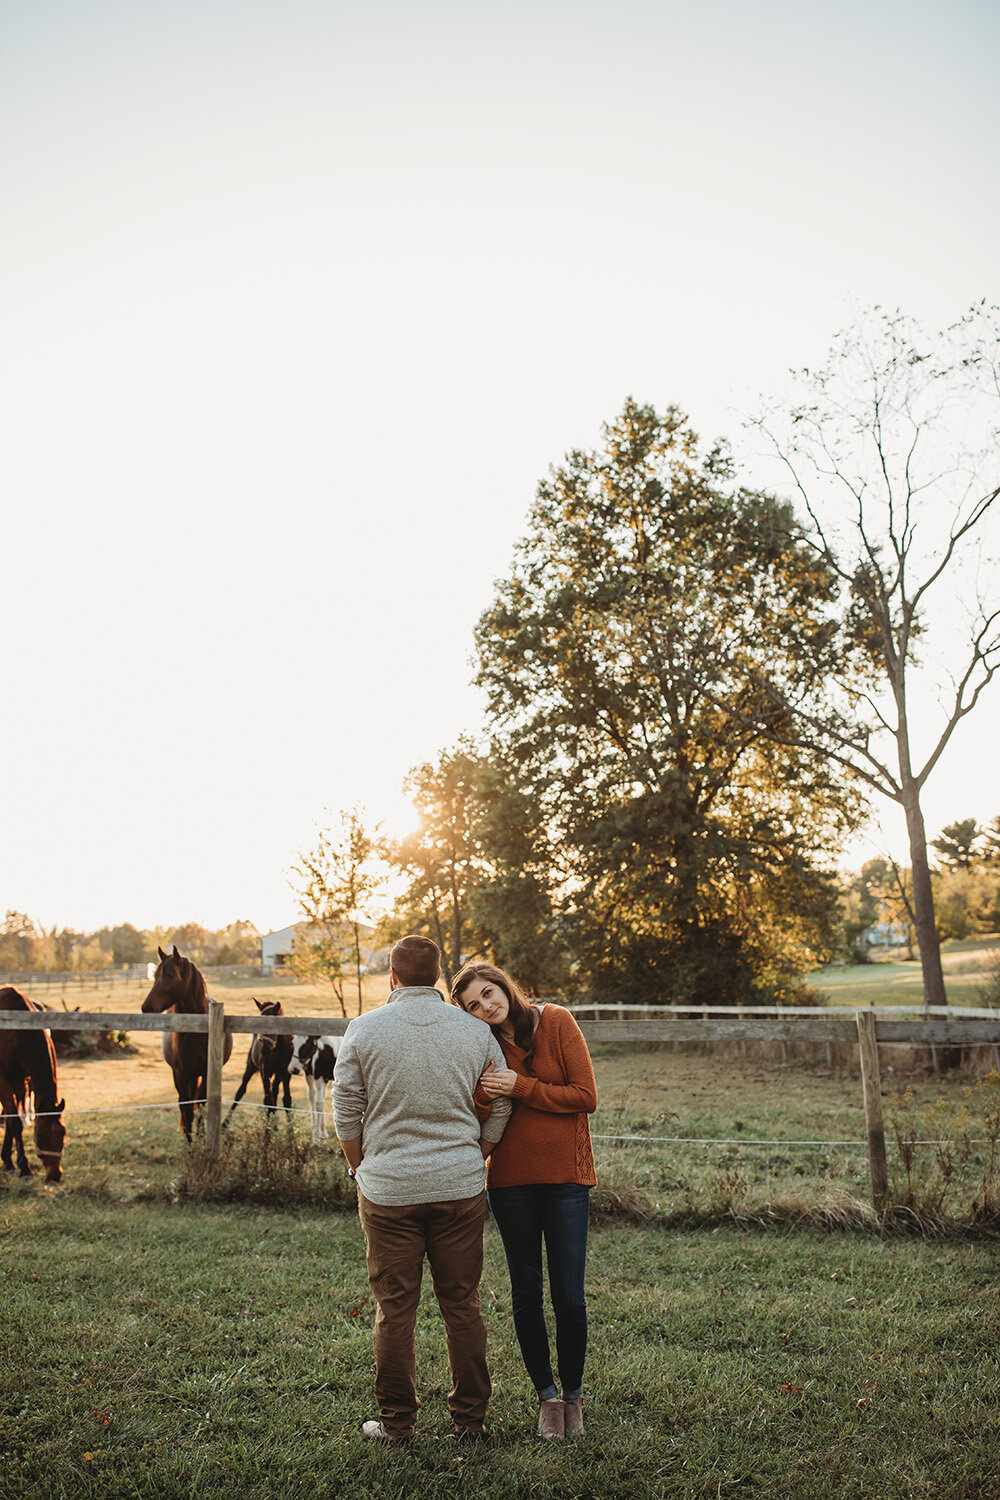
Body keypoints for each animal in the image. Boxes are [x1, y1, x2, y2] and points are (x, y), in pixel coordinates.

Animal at [0, 984, 67, 1182]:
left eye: (62, 1133)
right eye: (41, 1135)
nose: (55, 1175)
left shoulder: (20, 1079)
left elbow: (11, 1118)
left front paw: (8, 1161)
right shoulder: (4, 1079)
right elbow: (15, 1123)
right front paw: (24, 1167)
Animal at [140, 942, 235, 1140]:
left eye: (170, 975)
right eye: (155, 975)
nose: (146, 1007)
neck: (196, 1032)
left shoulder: (205, 1072)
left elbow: (201, 1107)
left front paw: (200, 1137)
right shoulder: (180, 1074)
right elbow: (186, 1109)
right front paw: (189, 1143)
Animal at [223, 996, 293, 1128]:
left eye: (272, 1023)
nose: (263, 1051)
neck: (278, 1050)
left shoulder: (285, 1073)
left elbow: (286, 1100)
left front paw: (290, 1132)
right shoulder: (265, 1073)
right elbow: (268, 1101)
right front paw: (269, 1132)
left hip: (277, 1074)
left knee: (274, 1092)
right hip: (251, 1068)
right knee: (241, 1091)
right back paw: (224, 1124)